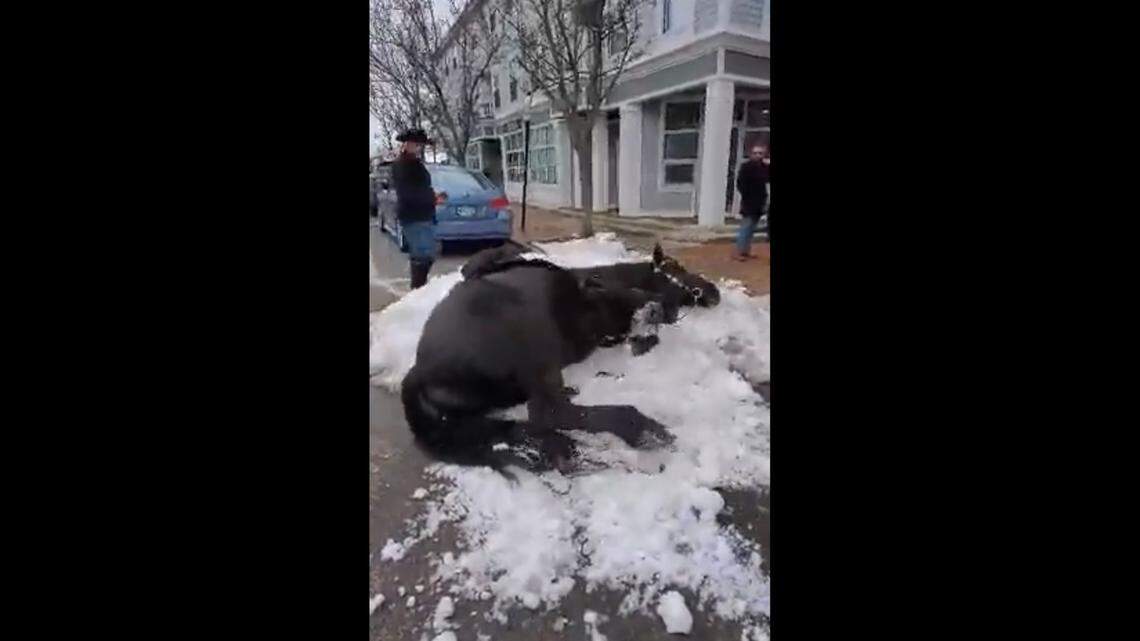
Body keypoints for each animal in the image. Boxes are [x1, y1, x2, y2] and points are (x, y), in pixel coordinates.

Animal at [401, 242, 721, 473]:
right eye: (677, 267)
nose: (714, 292)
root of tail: (419, 371)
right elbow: (647, 303)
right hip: (535, 356)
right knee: (549, 412)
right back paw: (641, 427)